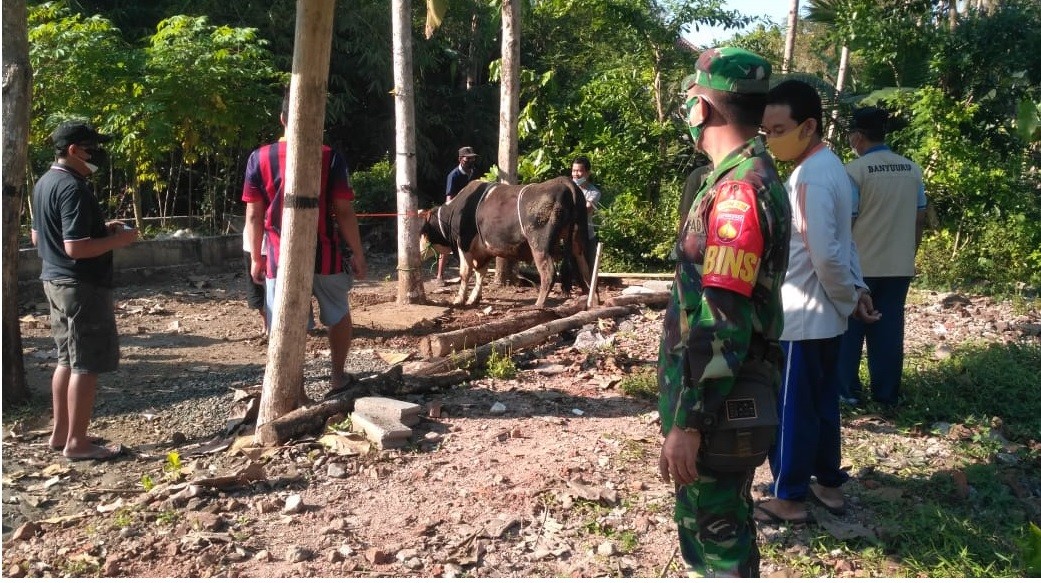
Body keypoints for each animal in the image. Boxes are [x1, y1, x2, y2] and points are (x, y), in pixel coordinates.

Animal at [418, 178, 599, 308]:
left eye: (421, 230)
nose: (419, 252)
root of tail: (565, 182)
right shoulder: (484, 250)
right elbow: (480, 273)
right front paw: (474, 298)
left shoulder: (464, 244)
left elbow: (465, 273)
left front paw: (459, 299)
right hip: (579, 239)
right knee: (588, 268)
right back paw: (594, 299)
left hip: (539, 245)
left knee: (549, 272)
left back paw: (539, 303)